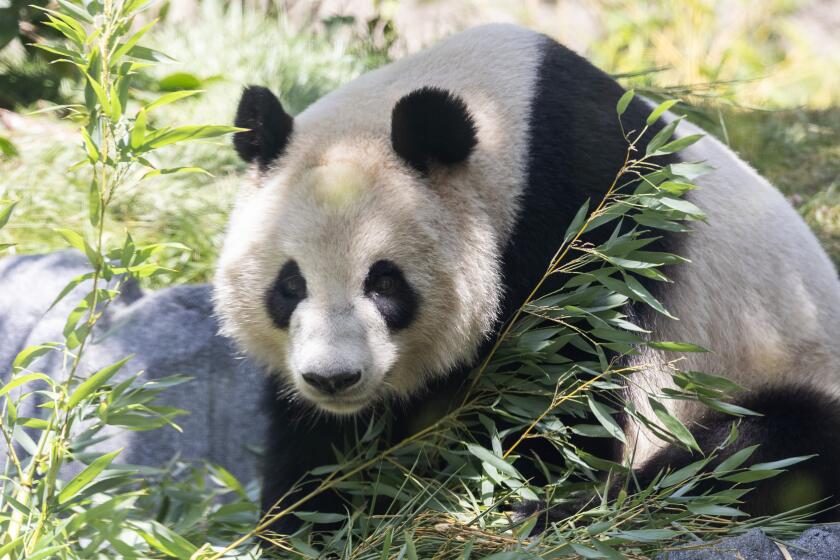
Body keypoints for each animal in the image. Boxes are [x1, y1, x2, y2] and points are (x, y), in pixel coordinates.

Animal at [213, 20, 840, 528]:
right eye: (290, 286)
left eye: (384, 282)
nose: (334, 378)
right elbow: (316, 442)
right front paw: (316, 516)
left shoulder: (585, 219)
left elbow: (559, 389)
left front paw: (498, 488)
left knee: (764, 451)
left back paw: (573, 511)